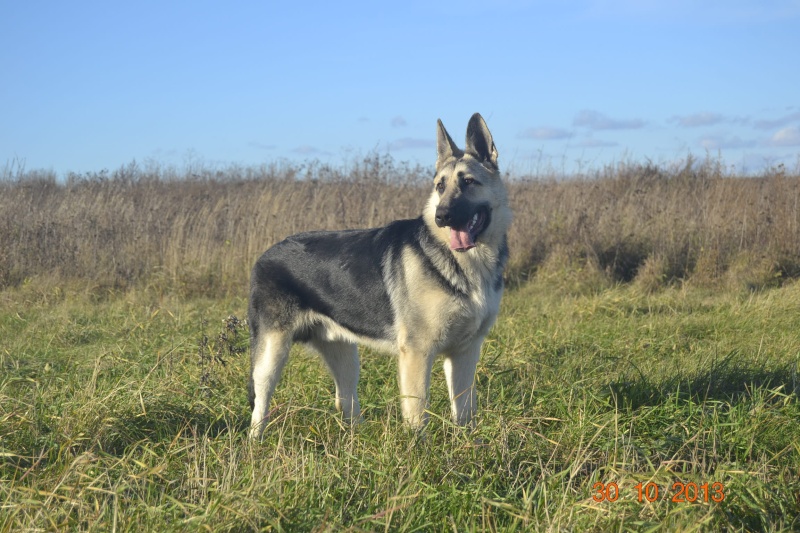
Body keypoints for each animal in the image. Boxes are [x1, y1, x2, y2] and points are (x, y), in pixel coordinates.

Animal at [248, 112, 512, 436]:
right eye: (440, 186)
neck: (465, 263)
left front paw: (468, 444)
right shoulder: (417, 354)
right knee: (261, 403)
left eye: (469, 182)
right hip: (271, 355)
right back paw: (255, 440)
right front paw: (418, 447)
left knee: (345, 400)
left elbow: (464, 411)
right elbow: (417, 412)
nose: (442, 216)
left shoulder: (465, 353)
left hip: (345, 356)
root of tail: (265, 254)